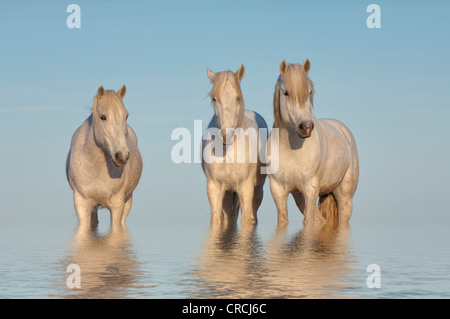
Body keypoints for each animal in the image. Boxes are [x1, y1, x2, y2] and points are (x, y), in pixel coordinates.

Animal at [66, 86, 142, 229]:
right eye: (103, 117)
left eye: (126, 116)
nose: (122, 156)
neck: (96, 168)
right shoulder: (81, 204)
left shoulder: (117, 205)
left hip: (128, 201)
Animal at [203, 65, 268, 226]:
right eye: (214, 98)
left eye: (238, 98)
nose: (227, 135)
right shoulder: (214, 188)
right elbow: (216, 221)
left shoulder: (246, 188)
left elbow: (246, 221)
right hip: (227, 192)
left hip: (257, 190)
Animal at [268, 60, 358, 228]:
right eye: (286, 93)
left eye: (309, 92)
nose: (306, 127)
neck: (292, 150)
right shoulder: (278, 190)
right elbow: (283, 221)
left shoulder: (311, 188)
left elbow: (308, 222)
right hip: (300, 195)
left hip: (344, 195)